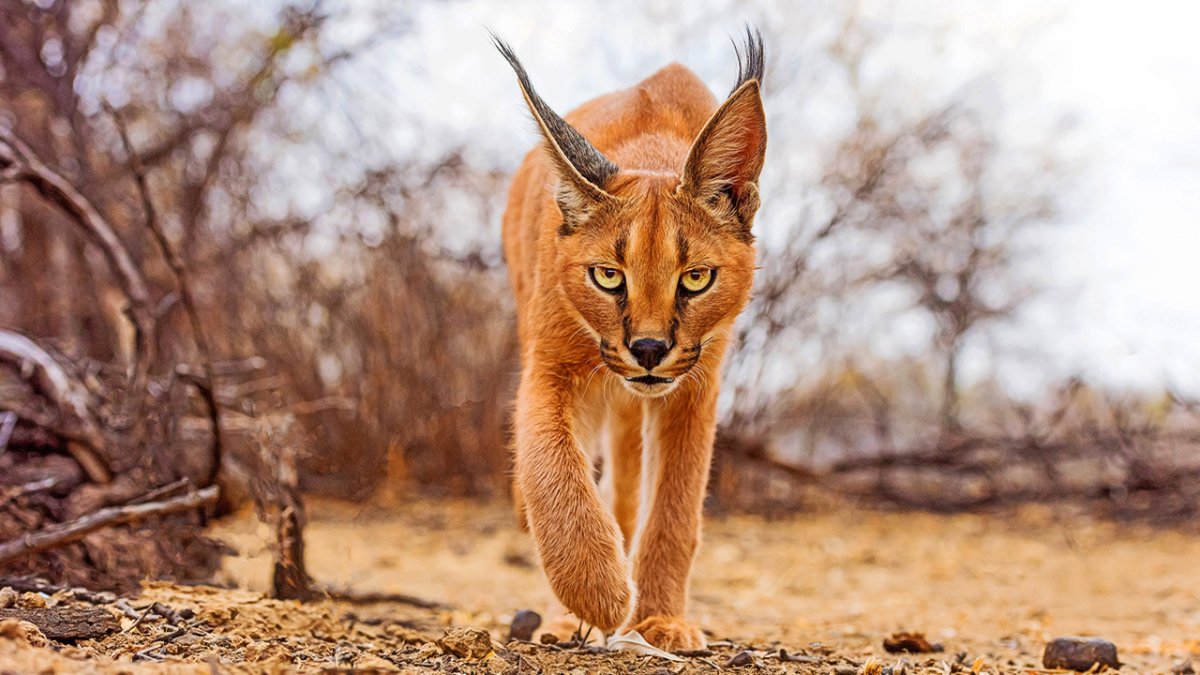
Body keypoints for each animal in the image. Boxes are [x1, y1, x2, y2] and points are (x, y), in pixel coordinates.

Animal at [496, 28, 768, 648]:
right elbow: (550, 461)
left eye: (696, 278)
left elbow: (674, 506)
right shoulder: (553, 366)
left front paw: (660, 618)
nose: (647, 349)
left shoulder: (695, 385)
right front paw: (595, 590)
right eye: (607, 276)